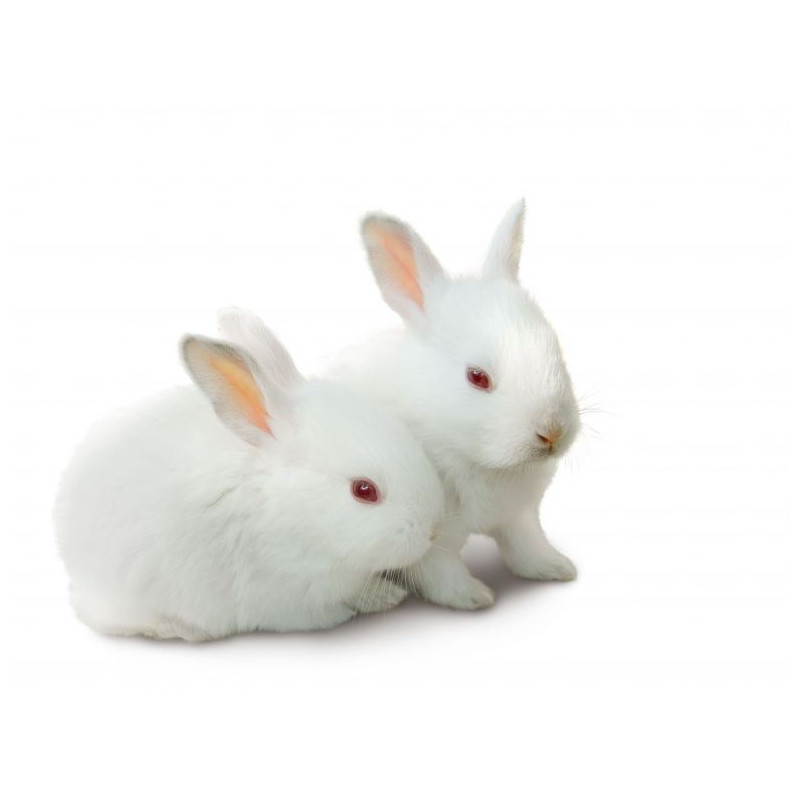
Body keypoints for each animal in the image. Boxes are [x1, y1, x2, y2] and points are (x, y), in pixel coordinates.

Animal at [331, 200, 581, 610]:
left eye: (556, 351)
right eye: (477, 377)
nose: (552, 433)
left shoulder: (519, 516)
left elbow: (526, 547)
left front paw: (557, 568)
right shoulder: (431, 539)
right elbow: (440, 572)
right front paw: (474, 598)